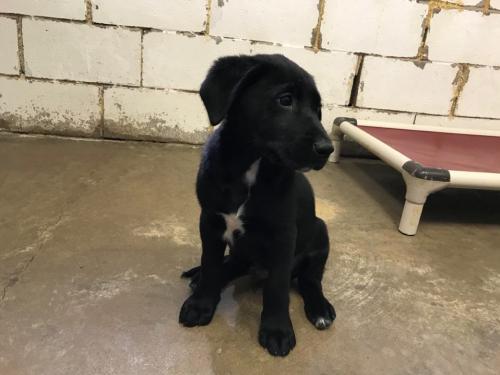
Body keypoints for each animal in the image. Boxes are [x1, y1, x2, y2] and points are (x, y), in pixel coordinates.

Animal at [180, 54, 336, 356]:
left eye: (318, 109)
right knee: (231, 263)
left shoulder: (283, 236)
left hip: (320, 233)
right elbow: (211, 262)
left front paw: (277, 330)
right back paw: (199, 277)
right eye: (285, 100)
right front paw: (201, 303)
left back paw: (320, 309)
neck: (252, 166)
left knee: (310, 279)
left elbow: (277, 288)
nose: (327, 149)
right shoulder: (210, 221)